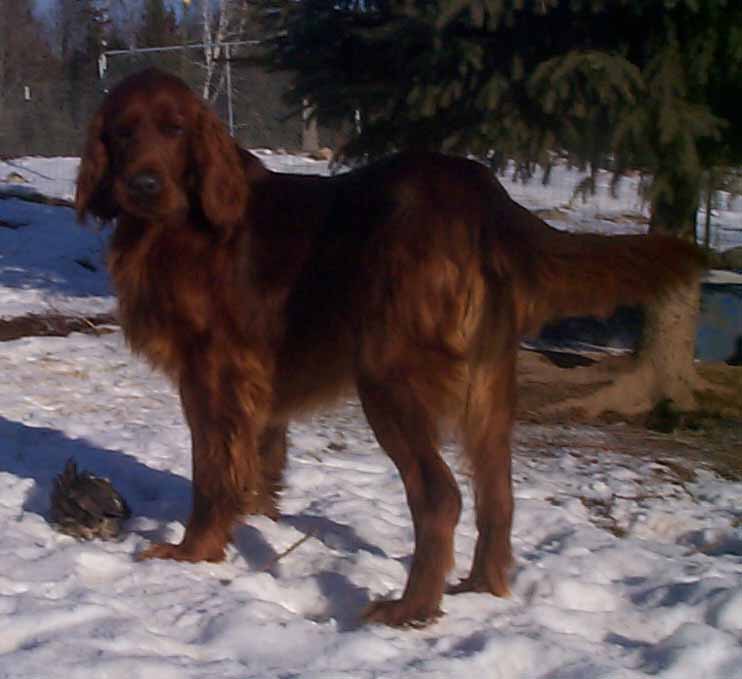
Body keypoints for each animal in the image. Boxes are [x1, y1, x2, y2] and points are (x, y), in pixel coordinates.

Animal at [75, 69, 704, 628]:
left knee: (440, 496)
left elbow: (211, 470)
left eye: (175, 128)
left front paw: (194, 551)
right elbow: (260, 460)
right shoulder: (259, 382)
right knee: (497, 495)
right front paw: (258, 523)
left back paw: (411, 608)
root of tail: (483, 196)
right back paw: (479, 587)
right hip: (488, 386)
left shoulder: (212, 373)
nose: (143, 185)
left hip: (388, 378)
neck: (183, 219)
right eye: (122, 132)